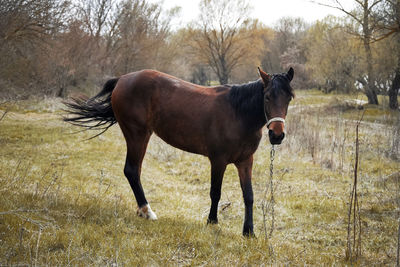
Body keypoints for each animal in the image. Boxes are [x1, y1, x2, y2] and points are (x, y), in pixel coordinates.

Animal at [62, 67, 294, 237]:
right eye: (267, 97)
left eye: (289, 98)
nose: (277, 135)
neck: (237, 113)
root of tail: (123, 79)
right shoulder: (218, 160)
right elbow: (215, 192)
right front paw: (212, 222)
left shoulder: (245, 161)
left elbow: (249, 195)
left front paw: (249, 232)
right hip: (137, 134)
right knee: (132, 170)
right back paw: (147, 211)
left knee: (134, 171)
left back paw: (142, 210)